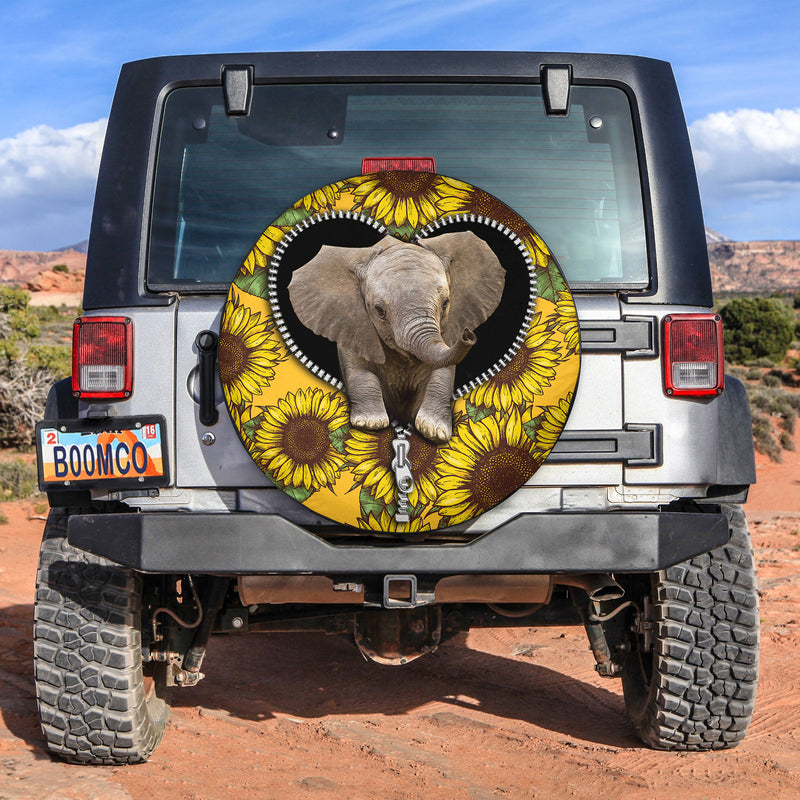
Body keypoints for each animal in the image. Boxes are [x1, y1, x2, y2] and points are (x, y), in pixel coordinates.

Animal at [287, 231, 505, 443]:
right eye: (379, 310)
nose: (468, 334)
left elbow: (441, 375)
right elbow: (360, 373)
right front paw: (370, 423)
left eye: (445, 303)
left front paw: (435, 431)